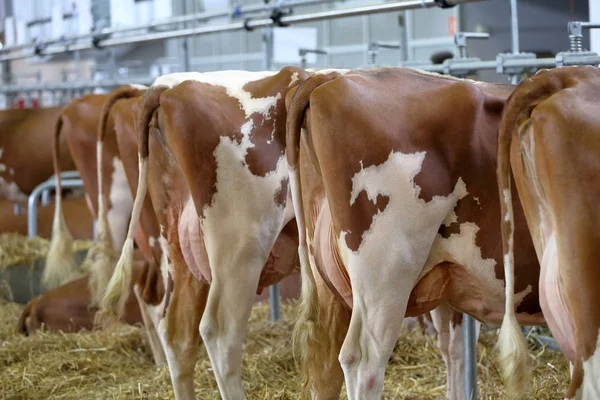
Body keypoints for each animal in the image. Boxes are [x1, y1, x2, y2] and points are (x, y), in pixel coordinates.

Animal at [286, 67, 544, 398]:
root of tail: (328, 78)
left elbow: (454, 348)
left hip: (328, 283)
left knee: (325, 367)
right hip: (386, 276)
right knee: (363, 362)